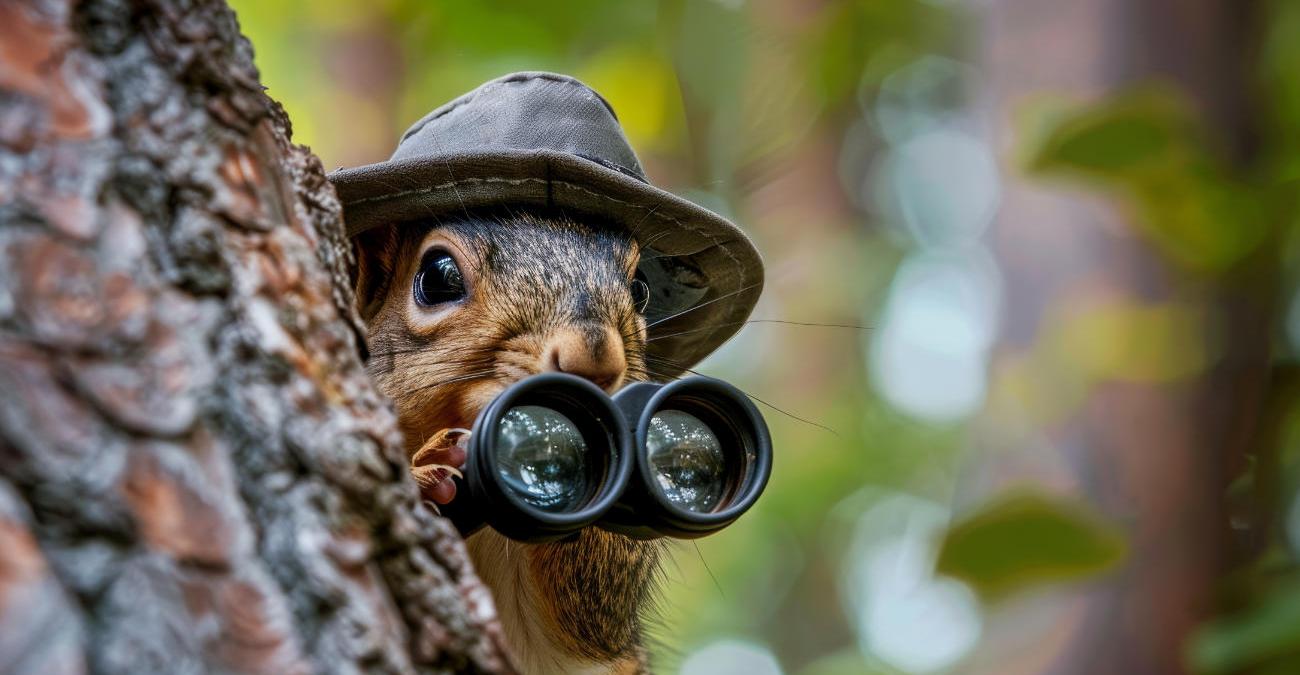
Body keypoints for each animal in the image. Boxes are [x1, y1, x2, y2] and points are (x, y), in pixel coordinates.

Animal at [351, 208, 660, 671]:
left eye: (640, 288)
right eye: (438, 276)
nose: (595, 358)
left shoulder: (597, 628)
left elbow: (598, 601)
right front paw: (429, 471)